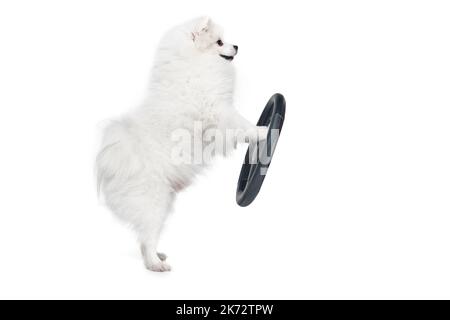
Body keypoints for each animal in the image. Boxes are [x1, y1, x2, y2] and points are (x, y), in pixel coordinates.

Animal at [96, 16, 268, 272]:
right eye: (219, 42)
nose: (237, 46)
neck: (195, 62)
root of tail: (114, 161)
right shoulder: (218, 110)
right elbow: (241, 124)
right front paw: (261, 131)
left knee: (144, 238)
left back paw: (156, 257)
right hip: (153, 201)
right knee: (147, 237)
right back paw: (156, 264)